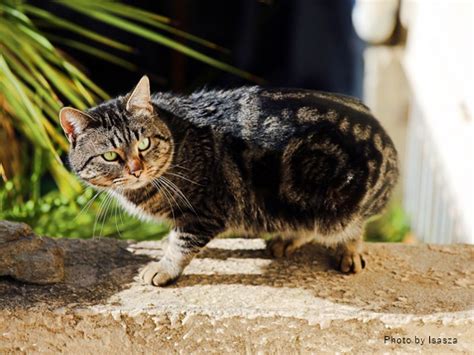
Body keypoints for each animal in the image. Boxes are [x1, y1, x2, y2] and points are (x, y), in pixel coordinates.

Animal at [60, 76, 400, 288]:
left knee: (353, 226)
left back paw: (348, 251)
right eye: (110, 156)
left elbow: (181, 245)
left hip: (336, 207)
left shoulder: (205, 213)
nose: (135, 169)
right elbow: (174, 237)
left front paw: (163, 268)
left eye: (143, 144)